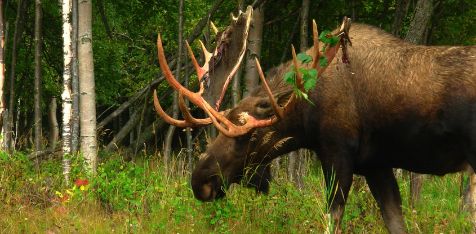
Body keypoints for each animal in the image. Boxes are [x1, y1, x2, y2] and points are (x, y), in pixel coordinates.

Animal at [153, 7, 476, 234]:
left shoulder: (337, 153)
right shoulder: (376, 164)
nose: (200, 181)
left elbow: (332, 220)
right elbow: (396, 222)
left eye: (251, 137)